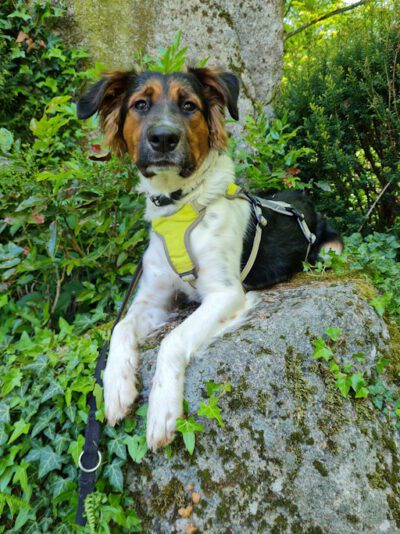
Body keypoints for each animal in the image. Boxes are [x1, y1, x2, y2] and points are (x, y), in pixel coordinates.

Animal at [77, 67, 342, 451]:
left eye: (189, 105)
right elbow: (121, 328)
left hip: (327, 246)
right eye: (140, 104)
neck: (179, 207)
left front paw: (162, 411)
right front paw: (116, 387)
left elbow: (173, 339)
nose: (163, 138)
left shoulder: (225, 293)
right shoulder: (154, 298)